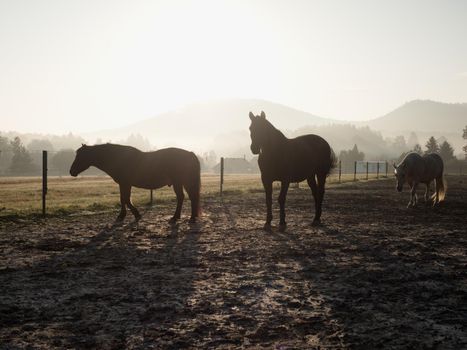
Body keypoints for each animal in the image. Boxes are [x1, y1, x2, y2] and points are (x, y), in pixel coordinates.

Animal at [70, 144, 201, 223]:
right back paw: (180, 217)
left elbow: (126, 199)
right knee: (184, 197)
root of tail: (190, 153)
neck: (119, 158)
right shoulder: (123, 184)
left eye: (80, 156)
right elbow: (123, 199)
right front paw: (123, 215)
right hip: (180, 182)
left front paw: (135, 214)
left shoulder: (125, 183)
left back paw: (186, 218)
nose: (71, 171)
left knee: (188, 197)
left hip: (181, 182)